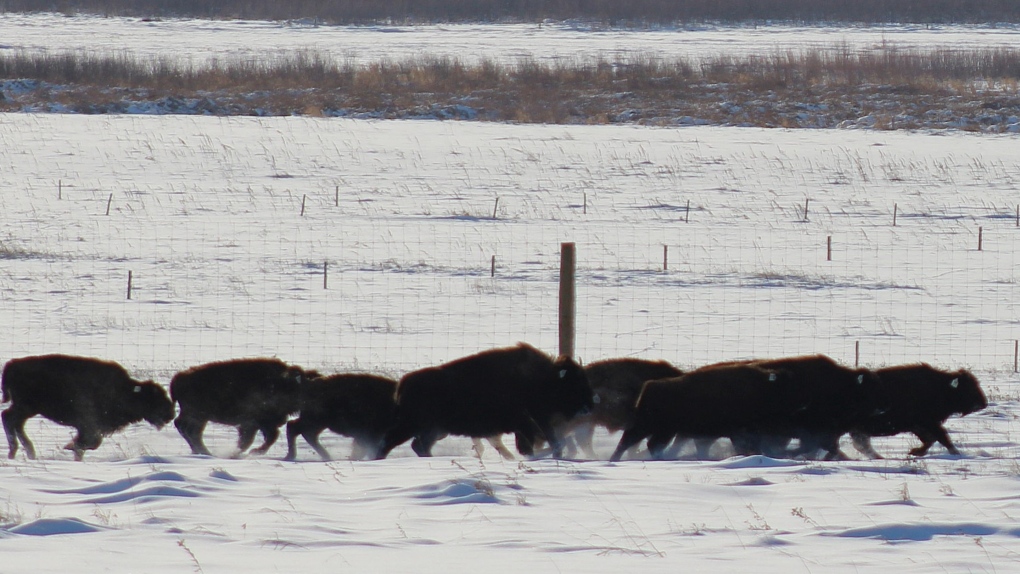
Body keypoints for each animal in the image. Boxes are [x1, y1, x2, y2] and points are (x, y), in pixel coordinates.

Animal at [0, 354, 172, 462]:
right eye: (155, 399)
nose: (170, 414)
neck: (127, 391)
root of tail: (11, 366)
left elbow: (90, 443)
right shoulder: (88, 425)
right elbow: (91, 442)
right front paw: (70, 446)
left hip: (27, 409)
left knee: (14, 421)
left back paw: (27, 452)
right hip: (26, 407)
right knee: (8, 418)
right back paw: (19, 451)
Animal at [169, 358, 312, 458]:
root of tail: (177, 379)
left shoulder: (254, 424)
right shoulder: (259, 423)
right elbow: (264, 438)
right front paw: (252, 452)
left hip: (200, 417)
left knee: (190, 430)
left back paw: (202, 452)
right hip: (198, 415)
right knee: (188, 429)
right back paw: (204, 452)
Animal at [377, 344, 595, 460]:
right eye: (575, 384)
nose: (591, 404)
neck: (541, 378)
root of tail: (403, 383)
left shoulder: (536, 422)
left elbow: (555, 442)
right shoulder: (526, 423)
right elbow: (538, 445)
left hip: (432, 430)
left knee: (418, 446)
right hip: (412, 426)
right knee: (391, 443)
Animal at [607, 362, 799, 462]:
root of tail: (649, 386)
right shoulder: (739, 433)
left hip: (663, 431)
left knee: (648, 443)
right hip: (648, 427)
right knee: (629, 442)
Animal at [844, 362, 987, 458]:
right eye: (968, 388)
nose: (983, 403)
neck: (941, 387)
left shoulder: (918, 426)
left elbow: (931, 439)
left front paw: (915, 452)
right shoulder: (927, 423)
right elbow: (941, 437)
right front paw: (956, 453)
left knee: (861, 444)